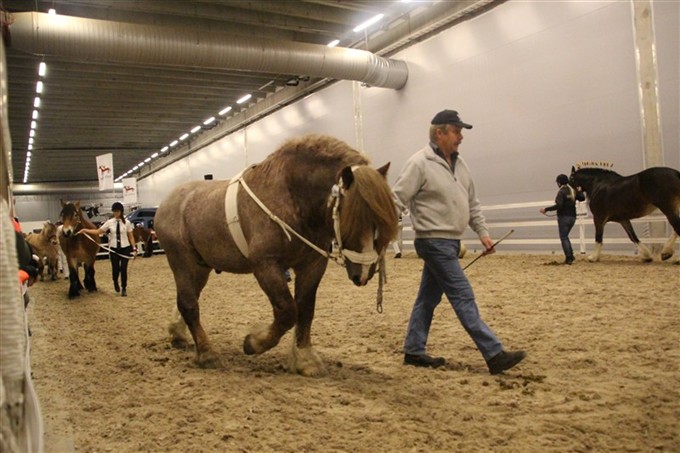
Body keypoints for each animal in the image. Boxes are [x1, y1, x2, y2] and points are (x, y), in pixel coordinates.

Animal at [154, 133, 398, 374]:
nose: (364, 273)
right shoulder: (266, 265)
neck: (290, 196)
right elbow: (287, 311)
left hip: (200, 267)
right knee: (189, 305)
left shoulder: (312, 265)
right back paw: (207, 354)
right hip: (182, 263)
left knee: (186, 299)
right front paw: (253, 343)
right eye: (353, 218)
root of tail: (166, 203)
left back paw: (178, 334)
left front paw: (305, 358)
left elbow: (305, 309)